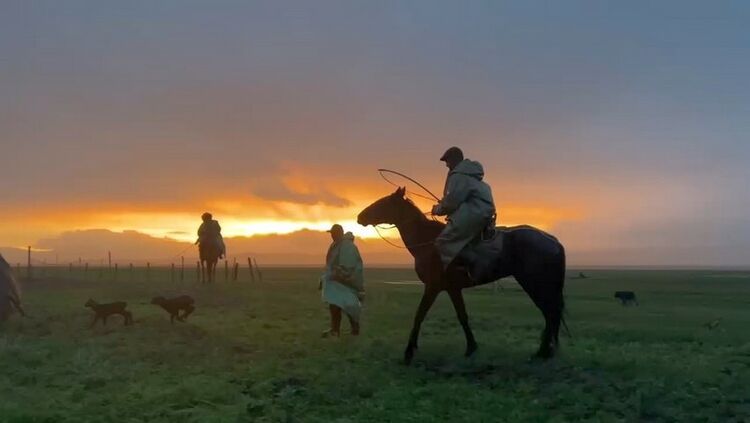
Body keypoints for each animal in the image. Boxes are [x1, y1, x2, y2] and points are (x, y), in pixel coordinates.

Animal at [357, 187, 567, 364]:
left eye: (384, 202)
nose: (360, 217)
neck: (428, 242)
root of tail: (553, 241)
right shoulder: (452, 288)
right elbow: (462, 316)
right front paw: (471, 348)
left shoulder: (432, 287)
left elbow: (419, 315)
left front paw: (409, 352)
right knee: (550, 312)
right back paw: (544, 351)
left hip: (534, 283)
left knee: (549, 312)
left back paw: (544, 352)